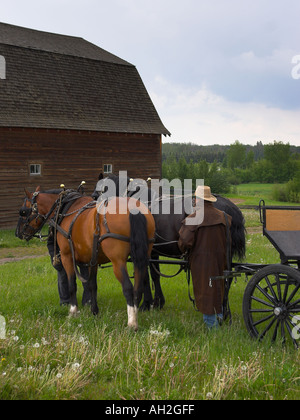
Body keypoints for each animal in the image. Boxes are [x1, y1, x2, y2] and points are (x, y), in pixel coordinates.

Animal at [15, 187, 155, 332]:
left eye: (23, 211)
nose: (18, 233)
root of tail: (131, 207)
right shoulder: (92, 260)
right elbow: (92, 285)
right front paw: (94, 311)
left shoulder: (66, 256)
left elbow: (72, 284)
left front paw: (73, 311)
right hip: (142, 257)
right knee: (138, 287)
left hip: (118, 261)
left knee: (128, 287)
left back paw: (132, 323)